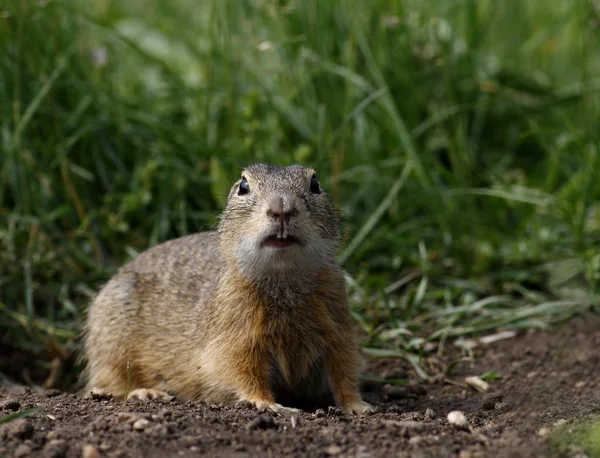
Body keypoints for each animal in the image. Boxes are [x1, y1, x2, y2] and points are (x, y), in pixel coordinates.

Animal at [82, 163, 372, 414]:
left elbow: (344, 371)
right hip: (112, 341)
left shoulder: (338, 327)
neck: (284, 280)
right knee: (105, 384)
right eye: (243, 185)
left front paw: (358, 406)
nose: (281, 208)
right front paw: (268, 404)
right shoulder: (236, 338)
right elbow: (244, 372)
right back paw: (144, 392)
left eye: (315, 184)